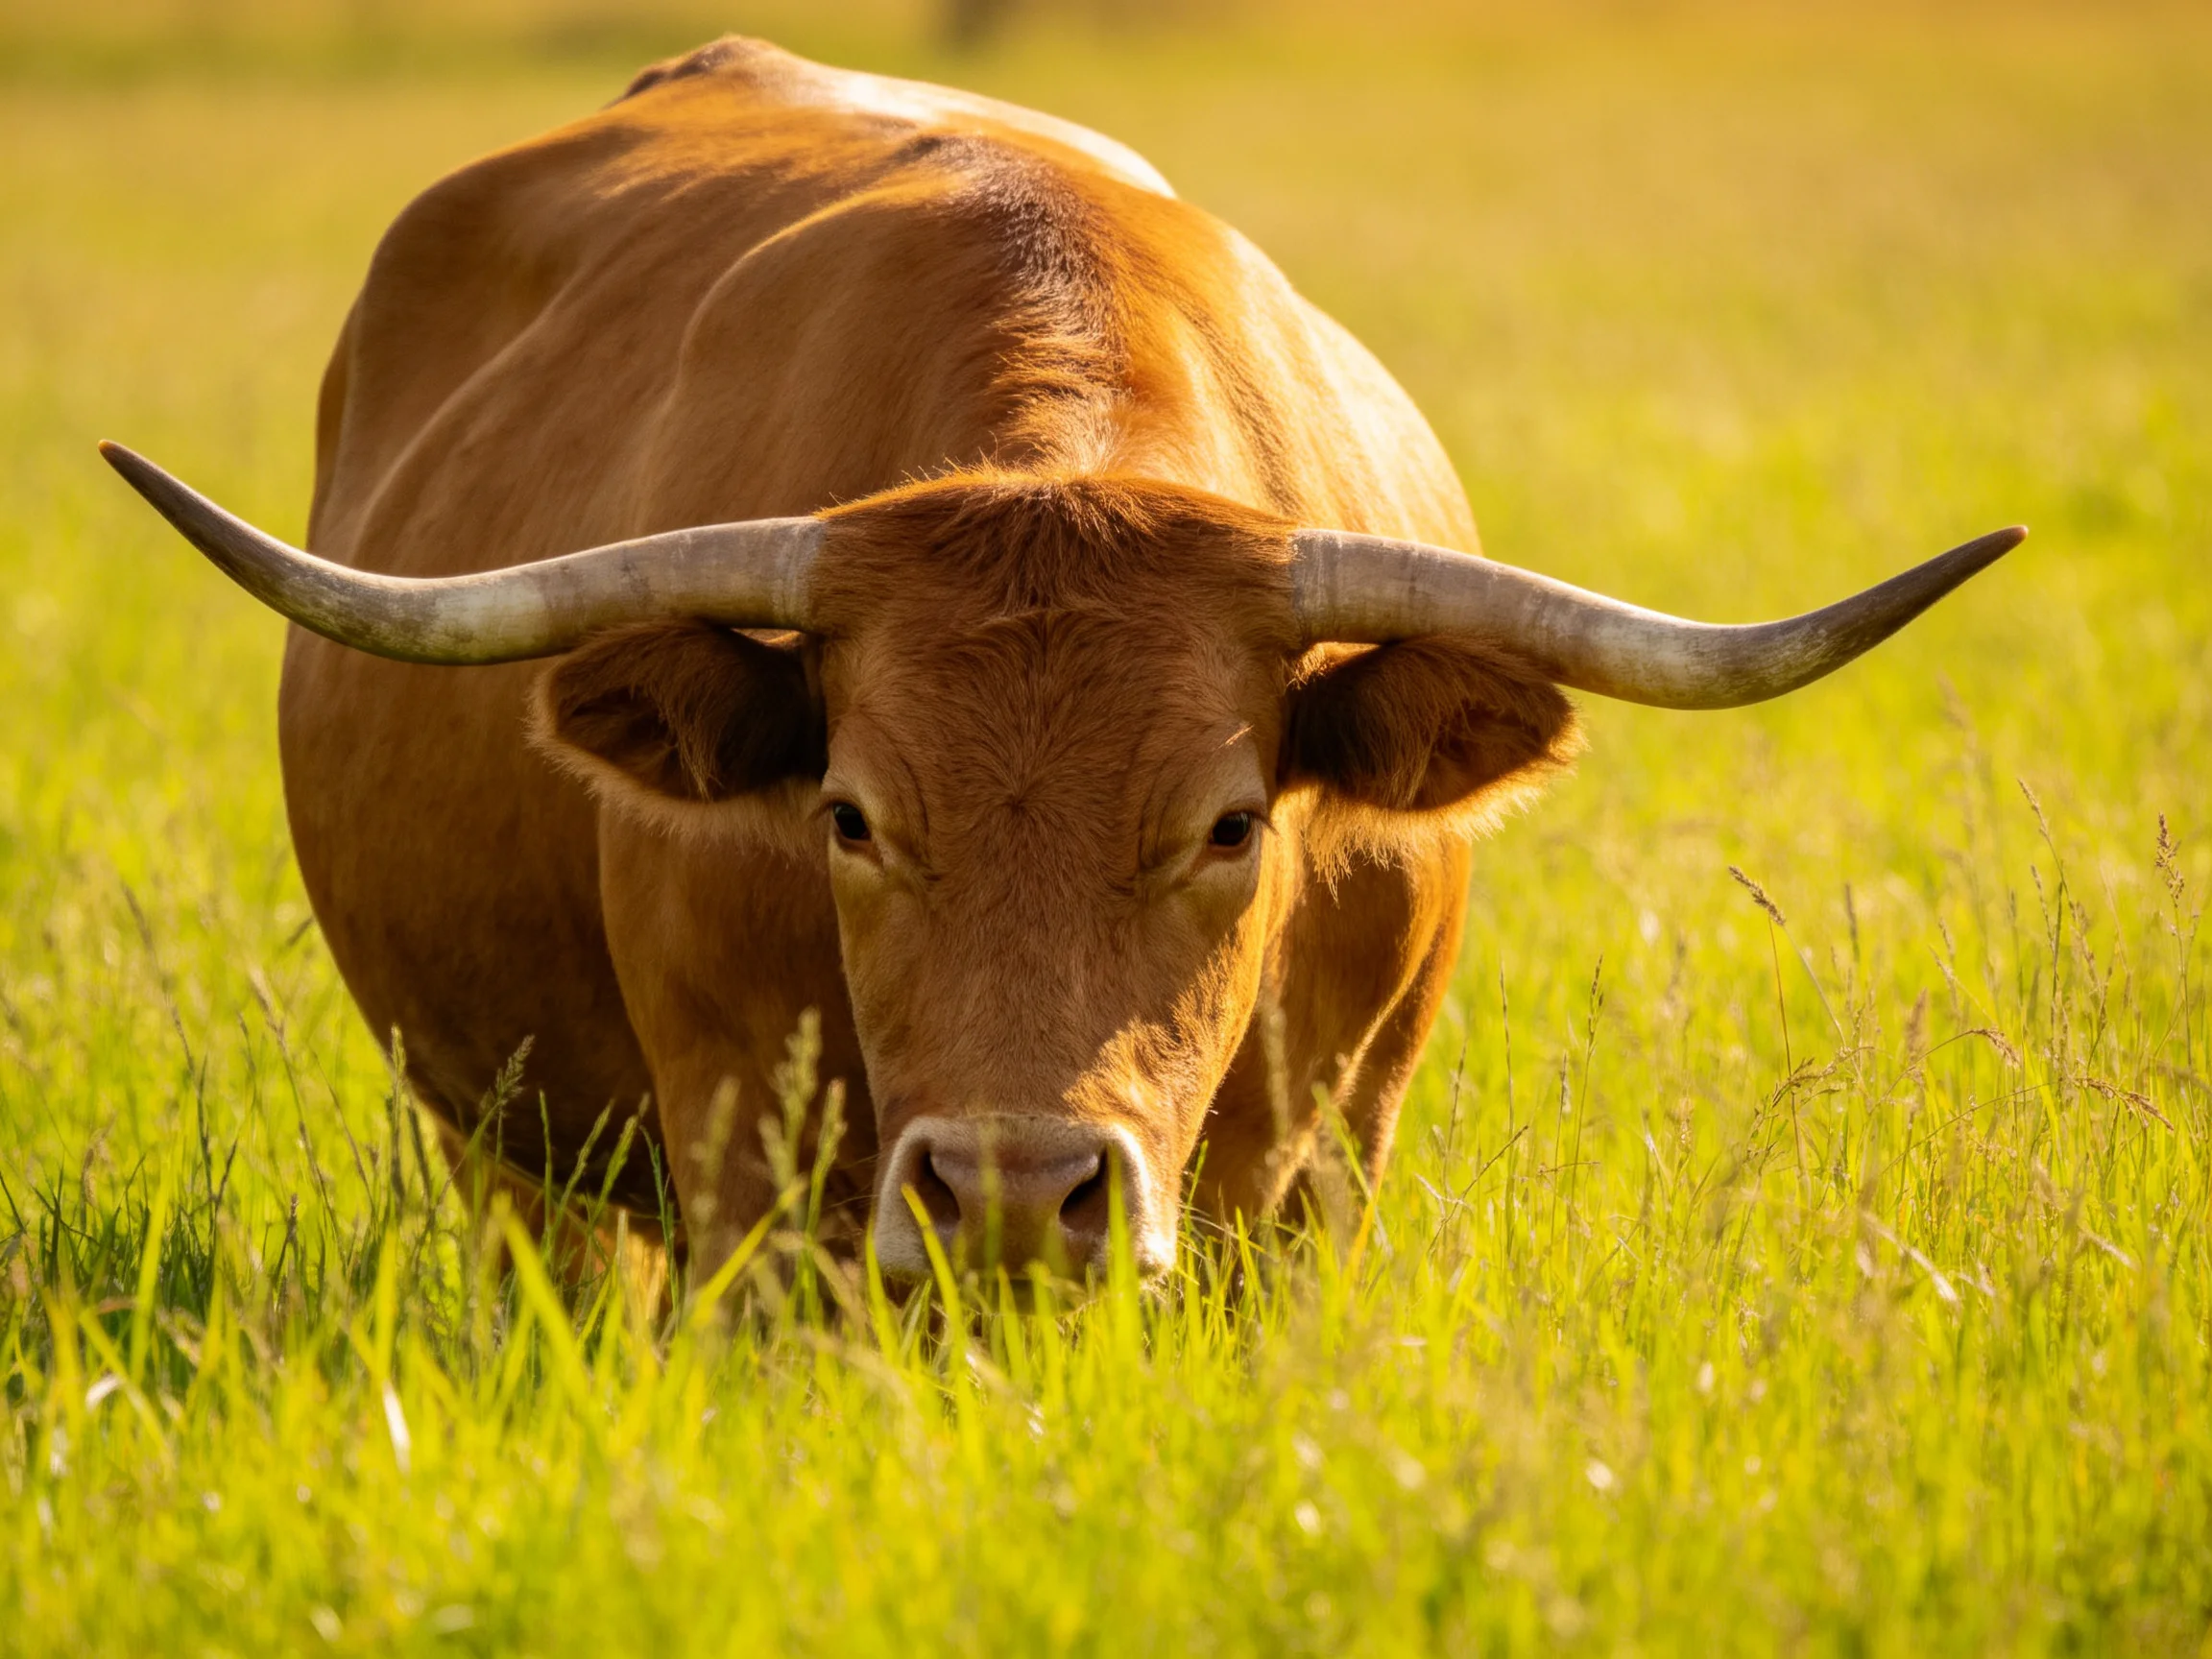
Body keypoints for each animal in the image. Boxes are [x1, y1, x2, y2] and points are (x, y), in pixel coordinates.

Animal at [101, 38, 2021, 1289]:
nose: (1017, 1189)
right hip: (508, 1154)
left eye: (1231, 824)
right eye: (850, 818)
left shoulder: (1321, 1184)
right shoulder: (750, 1189)